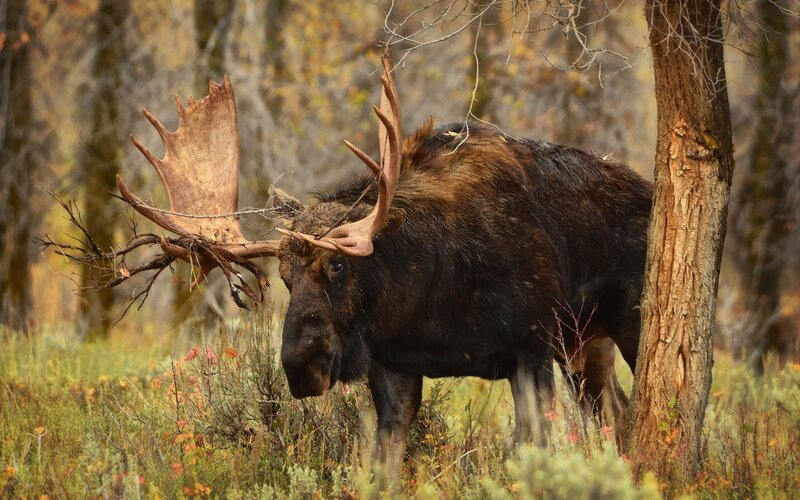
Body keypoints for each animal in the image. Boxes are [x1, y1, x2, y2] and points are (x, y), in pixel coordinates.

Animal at [114, 53, 652, 466]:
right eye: (284, 276)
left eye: (337, 265)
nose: (300, 367)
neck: (432, 299)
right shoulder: (394, 365)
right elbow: (384, 463)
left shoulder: (531, 347)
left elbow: (529, 451)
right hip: (585, 344)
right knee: (619, 411)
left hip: (623, 325)